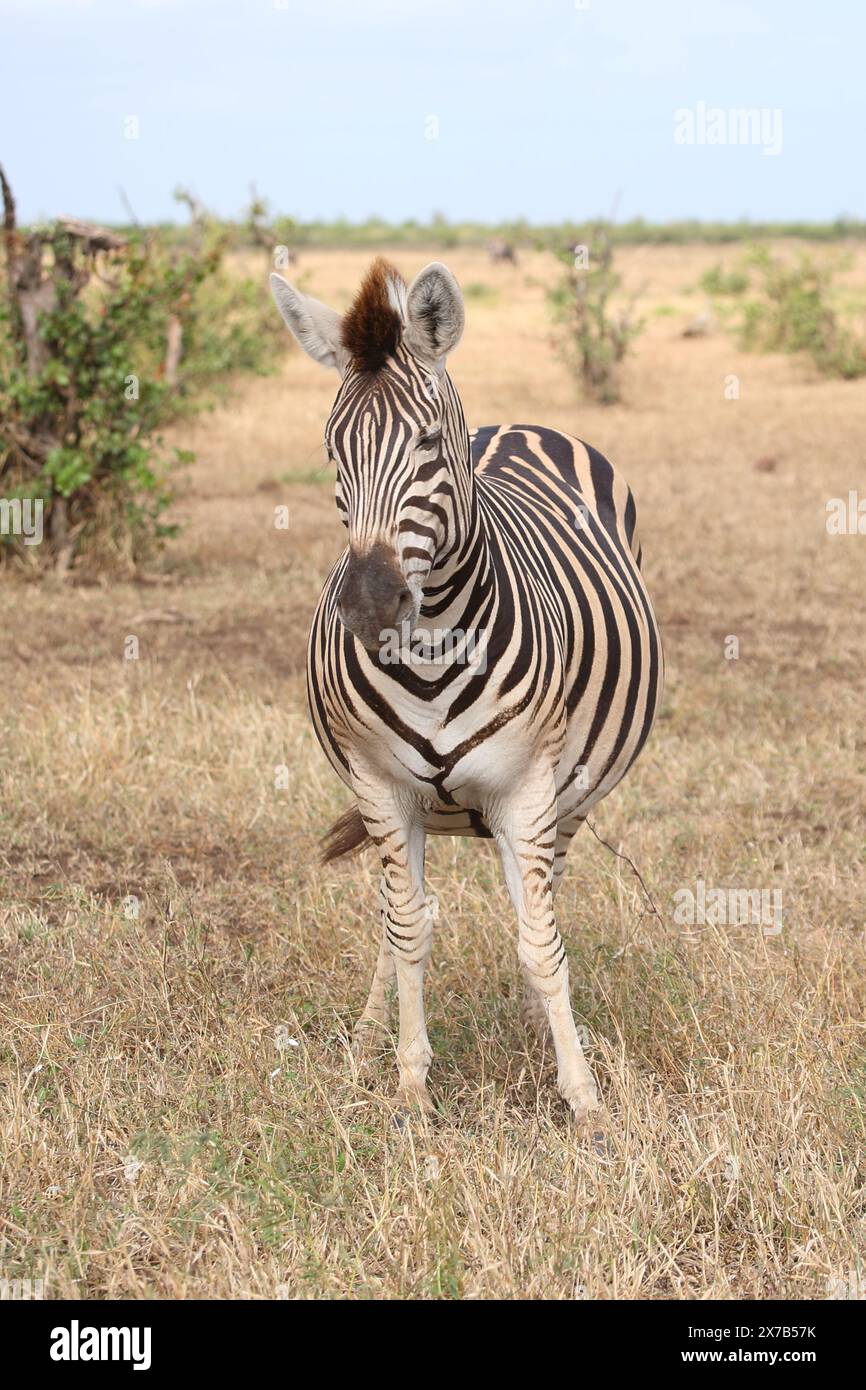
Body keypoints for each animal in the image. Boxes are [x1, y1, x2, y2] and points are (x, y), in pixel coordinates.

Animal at [270, 258, 663, 1124]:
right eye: (332, 451)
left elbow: (541, 940)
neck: (432, 652)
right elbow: (408, 932)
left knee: (538, 904)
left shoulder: (530, 790)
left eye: (424, 443)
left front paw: (582, 1095)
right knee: (399, 919)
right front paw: (409, 1085)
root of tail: (514, 425)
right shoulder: (381, 788)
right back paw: (364, 1045)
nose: (369, 605)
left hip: (569, 799)